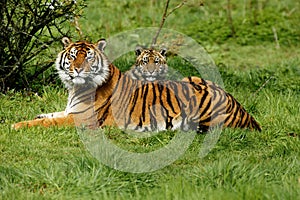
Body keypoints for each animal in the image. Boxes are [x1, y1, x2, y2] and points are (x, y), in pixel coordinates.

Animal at [12, 37, 260, 133]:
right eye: (73, 56)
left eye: (88, 57)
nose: (78, 70)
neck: (76, 89)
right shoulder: (70, 111)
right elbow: (49, 115)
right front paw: (35, 115)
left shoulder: (82, 119)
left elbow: (46, 123)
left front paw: (15, 125)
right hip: (193, 78)